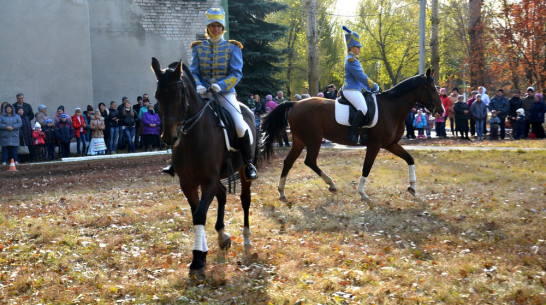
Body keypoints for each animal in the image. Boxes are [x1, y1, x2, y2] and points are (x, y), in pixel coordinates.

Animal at [149, 58, 260, 280]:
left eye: (179, 95)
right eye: (157, 96)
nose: (168, 138)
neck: (194, 136)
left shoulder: (209, 180)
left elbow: (200, 214)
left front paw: (198, 258)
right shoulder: (188, 182)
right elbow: (196, 214)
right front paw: (202, 253)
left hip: (242, 172)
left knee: (245, 200)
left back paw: (246, 239)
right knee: (223, 194)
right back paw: (222, 236)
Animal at [260, 68, 442, 200]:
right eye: (433, 89)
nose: (441, 111)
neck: (391, 109)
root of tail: (296, 103)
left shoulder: (390, 144)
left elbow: (410, 159)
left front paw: (412, 186)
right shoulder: (375, 145)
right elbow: (367, 167)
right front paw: (362, 193)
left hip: (299, 140)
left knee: (288, 162)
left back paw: (282, 191)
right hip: (313, 140)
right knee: (310, 161)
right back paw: (331, 184)